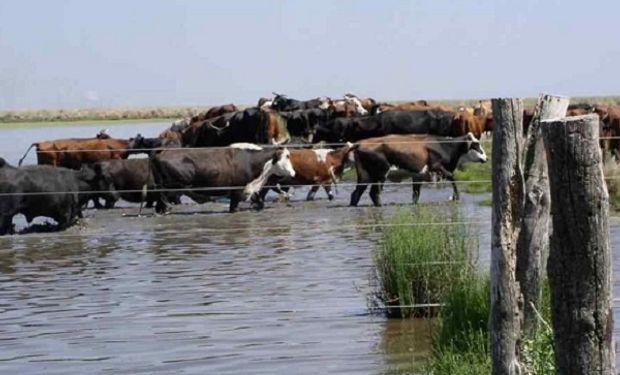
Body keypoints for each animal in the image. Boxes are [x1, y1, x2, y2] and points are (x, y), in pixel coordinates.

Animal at [149, 144, 296, 214]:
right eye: (287, 156)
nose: (293, 173)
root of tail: (162, 152)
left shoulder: (247, 190)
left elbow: (259, 202)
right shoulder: (236, 192)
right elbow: (234, 208)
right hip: (169, 187)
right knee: (162, 201)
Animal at [348, 133, 490, 209]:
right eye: (476, 145)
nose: (486, 158)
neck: (443, 145)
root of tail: (360, 143)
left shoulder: (418, 176)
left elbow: (416, 195)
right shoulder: (437, 167)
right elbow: (452, 176)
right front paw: (456, 197)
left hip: (365, 176)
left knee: (356, 194)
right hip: (380, 174)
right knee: (374, 193)